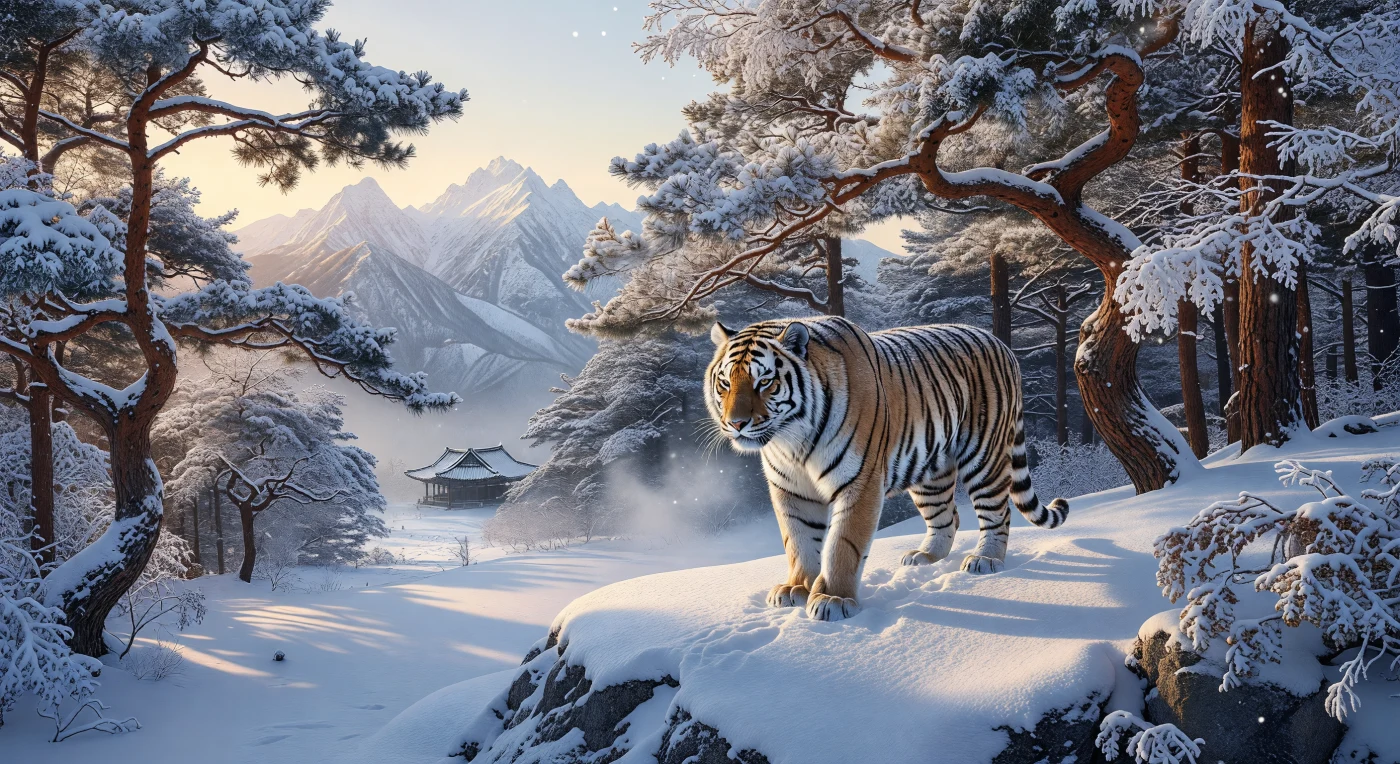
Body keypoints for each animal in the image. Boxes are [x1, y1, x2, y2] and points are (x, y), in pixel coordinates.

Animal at [705, 316, 1069, 622]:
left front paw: (833, 599)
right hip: (930, 472)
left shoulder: (859, 481)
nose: (735, 423)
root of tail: (999, 342)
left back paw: (986, 559)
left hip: (984, 455)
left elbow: (842, 543)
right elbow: (799, 540)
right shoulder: (790, 490)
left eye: (765, 382)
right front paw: (797, 587)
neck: (791, 441)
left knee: (997, 511)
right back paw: (925, 557)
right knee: (947, 516)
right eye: (725, 383)